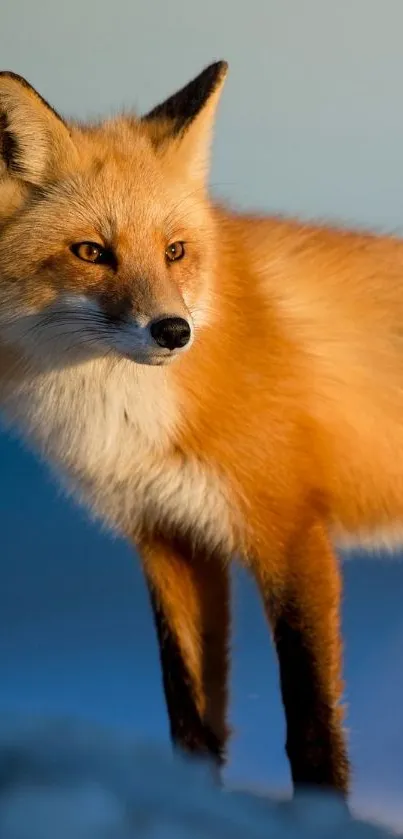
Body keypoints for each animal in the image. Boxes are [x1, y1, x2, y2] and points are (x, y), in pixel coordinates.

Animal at [3, 59, 403, 796]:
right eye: (91, 251)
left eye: (175, 251)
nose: (172, 331)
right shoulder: (170, 536)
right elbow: (189, 716)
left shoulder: (289, 528)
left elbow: (310, 721)